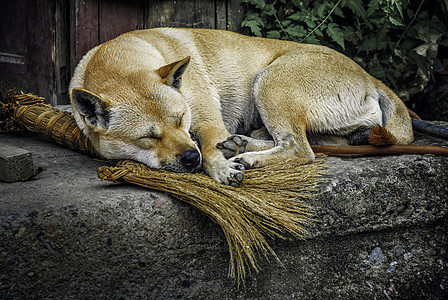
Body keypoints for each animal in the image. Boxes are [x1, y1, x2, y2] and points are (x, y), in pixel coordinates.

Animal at [69, 28, 412, 188]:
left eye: (181, 119)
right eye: (149, 137)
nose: (190, 158)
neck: (116, 62)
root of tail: (370, 78)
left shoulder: (207, 118)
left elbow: (209, 145)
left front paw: (220, 168)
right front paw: (222, 158)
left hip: (269, 81)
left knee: (299, 149)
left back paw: (246, 155)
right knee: (307, 142)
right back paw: (242, 144)